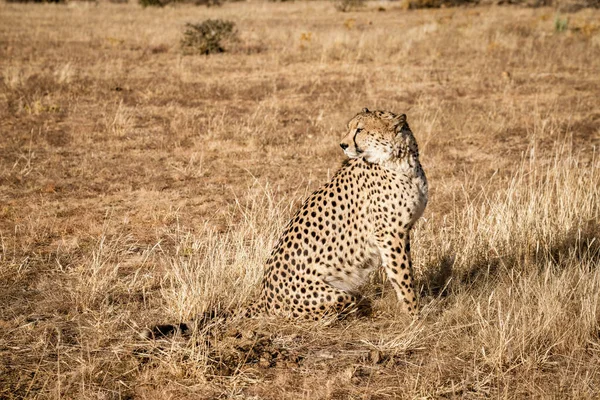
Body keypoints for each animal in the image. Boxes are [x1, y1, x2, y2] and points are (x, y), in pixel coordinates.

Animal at [145, 108, 426, 338]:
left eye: (361, 129)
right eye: (350, 127)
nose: (343, 144)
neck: (402, 160)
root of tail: (263, 295)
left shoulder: (401, 233)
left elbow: (404, 274)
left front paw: (414, 315)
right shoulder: (390, 235)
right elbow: (404, 278)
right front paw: (417, 318)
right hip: (336, 295)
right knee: (327, 310)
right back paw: (362, 311)